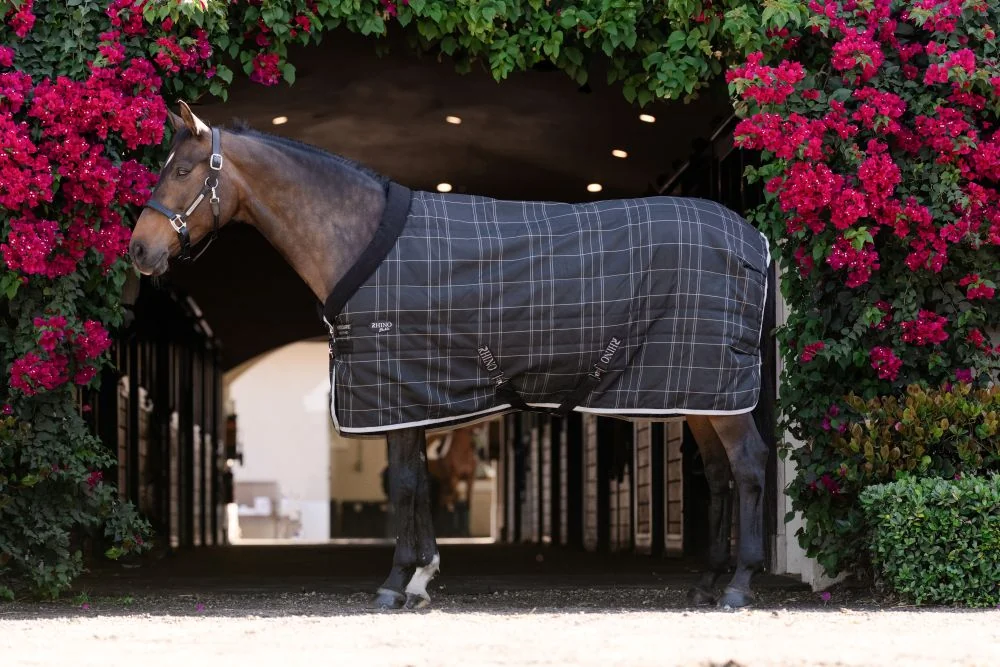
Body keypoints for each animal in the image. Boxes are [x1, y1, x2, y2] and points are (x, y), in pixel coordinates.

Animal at [129, 102, 771, 610]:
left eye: (181, 170)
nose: (138, 250)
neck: (360, 237)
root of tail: (752, 241)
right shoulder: (410, 394)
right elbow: (417, 482)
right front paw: (421, 577)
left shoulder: (394, 389)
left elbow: (407, 483)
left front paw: (397, 583)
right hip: (700, 396)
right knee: (719, 475)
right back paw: (706, 583)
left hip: (719, 393)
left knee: (749, 468)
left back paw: (739, 585)